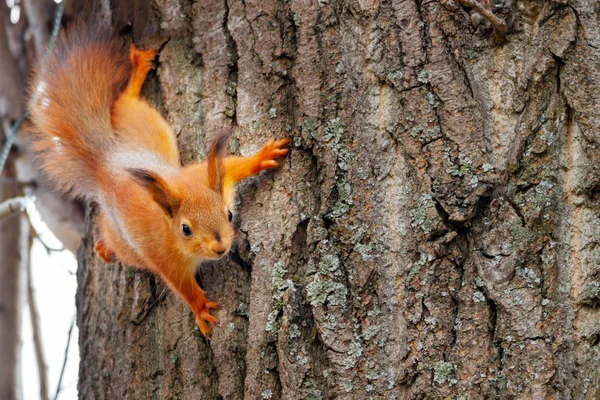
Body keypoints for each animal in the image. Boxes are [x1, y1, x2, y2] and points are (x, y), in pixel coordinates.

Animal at [28, 25, 288, 336]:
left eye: (228, 214)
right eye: (185, 229)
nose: (220, 248)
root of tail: (107, 162)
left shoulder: (201, 174)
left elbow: (233, 165)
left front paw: (262, 157)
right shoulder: (165, 259)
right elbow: (182, 287)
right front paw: (201, 308)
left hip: (145, 127)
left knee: (125, 103)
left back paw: (138, 69)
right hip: (128, 241)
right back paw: (104, 246)